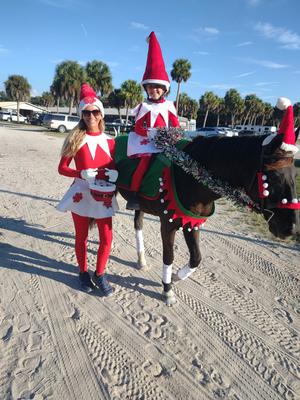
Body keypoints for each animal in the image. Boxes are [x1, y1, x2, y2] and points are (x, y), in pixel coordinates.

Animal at [116, 133, 300, 304]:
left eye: (295, 176)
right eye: (274, 177)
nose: (290, 228)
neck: (191, 174)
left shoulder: (191, 223)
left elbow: (196, 258)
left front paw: (176, 277)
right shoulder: (167, 224)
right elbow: (169, 257)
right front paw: (167, 290)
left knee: (138, 224)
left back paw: (141, 260)